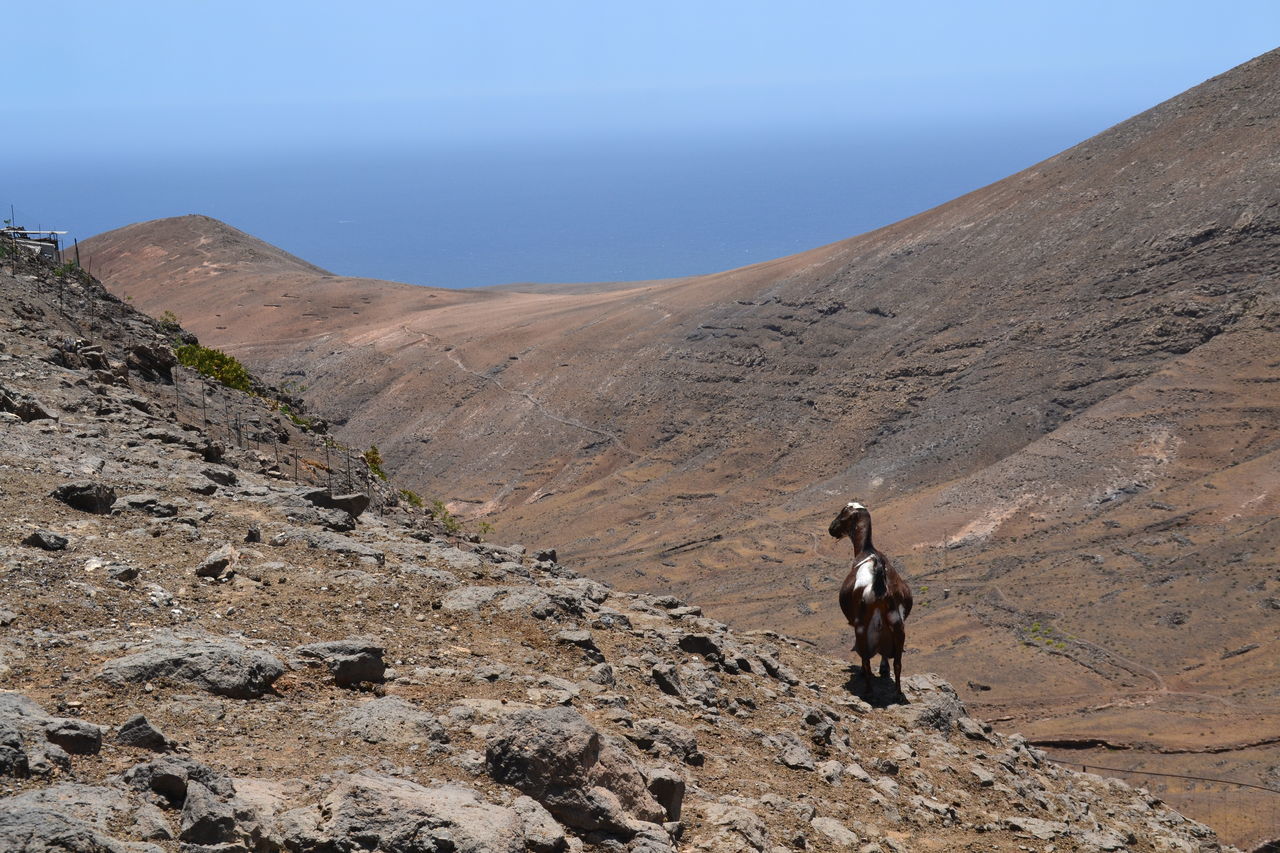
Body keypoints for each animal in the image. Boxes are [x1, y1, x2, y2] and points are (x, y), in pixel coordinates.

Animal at [829, 502, 911, 696]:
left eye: (842, 513)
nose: (831, 529)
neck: (866, 550)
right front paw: (883, 670)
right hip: (898, 626)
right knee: (898, 662)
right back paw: (898, 693)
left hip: (861, 626)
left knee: (865, 658)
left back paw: (868, 691)